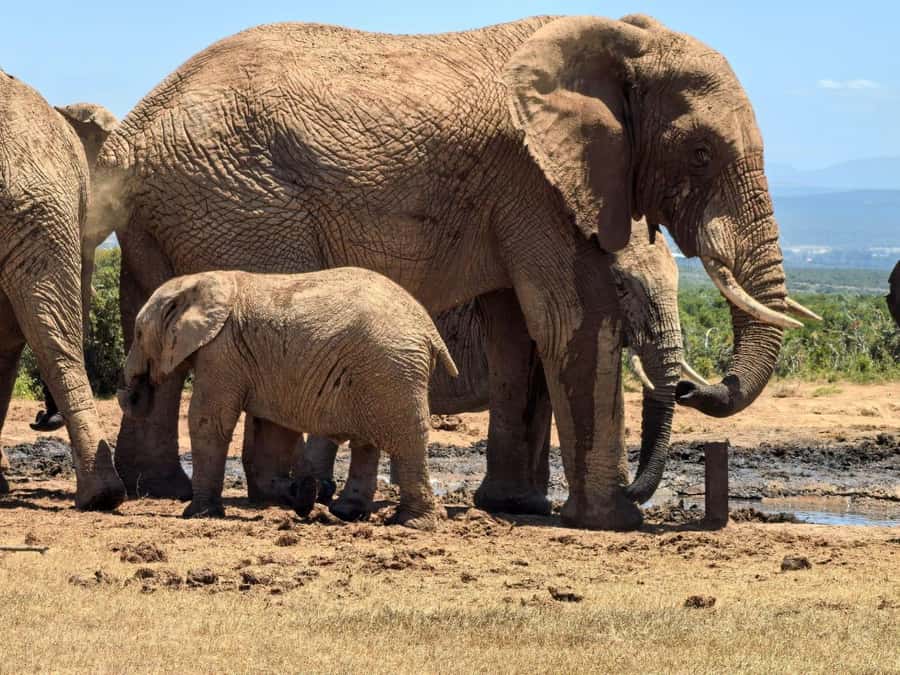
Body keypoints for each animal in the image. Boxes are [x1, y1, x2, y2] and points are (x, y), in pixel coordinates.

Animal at [118, 268, 458, 528]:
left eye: (138, 334)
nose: (131, 396)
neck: (199, 282)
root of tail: (429, 329)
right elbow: (271, 433)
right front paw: (303, 495)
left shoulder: (221, 351)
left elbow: (209, 421)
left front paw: (197, 514)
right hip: (381, 374)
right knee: (366, 443)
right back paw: (344, 512)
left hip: (390, 371)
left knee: (406, 442)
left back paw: (411, 523)